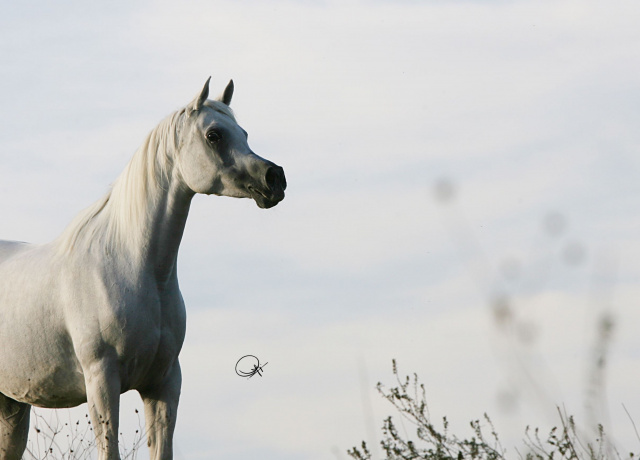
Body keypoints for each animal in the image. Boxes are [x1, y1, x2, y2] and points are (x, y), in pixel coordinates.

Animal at [0, 77, 284, 458]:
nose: (275, 178)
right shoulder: (102, 382)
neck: (132, 266)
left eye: (244, 133)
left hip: (13, 405)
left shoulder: (163, 384)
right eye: (214, 135)